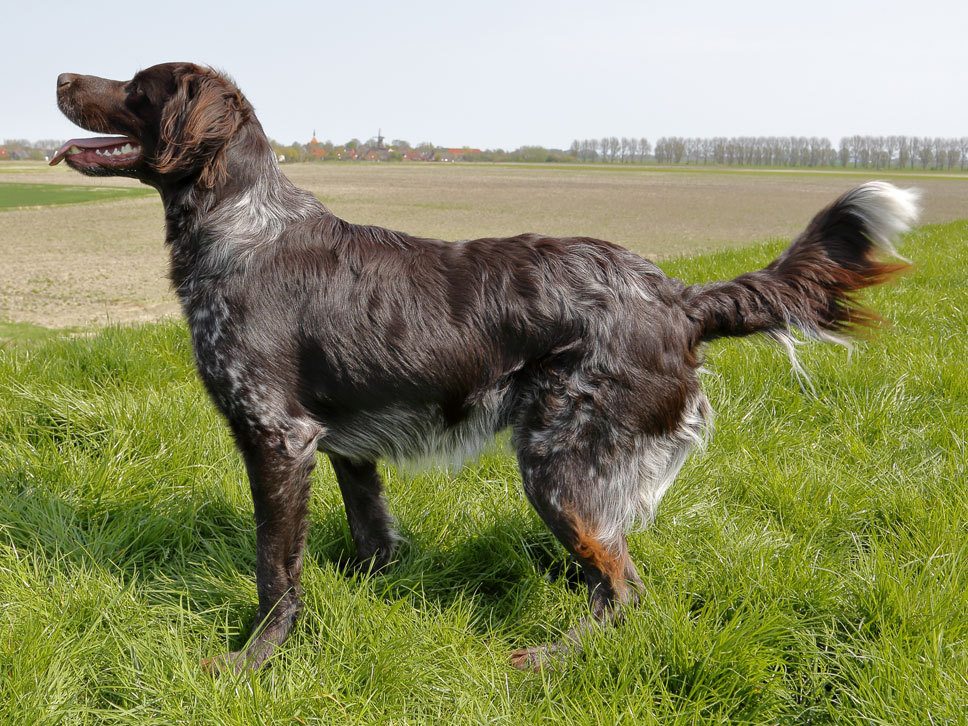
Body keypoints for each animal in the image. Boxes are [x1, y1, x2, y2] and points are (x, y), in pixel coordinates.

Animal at [53, 64, 924, 676]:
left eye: (136, 88)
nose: (60, 77)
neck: (242, 226)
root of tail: (677, 296)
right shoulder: (341, 444)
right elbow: (371, 537)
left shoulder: (276, 435)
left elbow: (275, 570)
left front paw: (253, 659)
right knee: (609, 576)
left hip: (559, 461)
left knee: (627, 589)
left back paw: (550, 657)